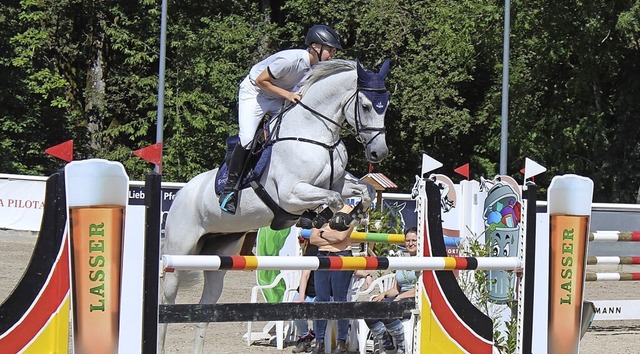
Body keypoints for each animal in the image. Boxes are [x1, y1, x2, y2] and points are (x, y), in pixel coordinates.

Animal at [160, 58, 390, 352]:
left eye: (386, 105)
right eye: (366, 106)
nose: (378, 153)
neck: (315, 134)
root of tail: (182, 193)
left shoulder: (337, 183)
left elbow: (365, 191)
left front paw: (346, 218)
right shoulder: (291, 195)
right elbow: (334, 199)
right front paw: (322, 218)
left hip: (220, 255)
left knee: (205, 310)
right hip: (180, 251)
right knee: (168, 301)